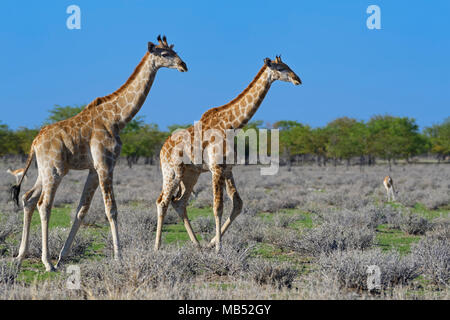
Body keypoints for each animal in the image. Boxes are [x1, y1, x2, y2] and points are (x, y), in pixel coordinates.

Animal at [11, 35, 188, 272]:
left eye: (174, 51)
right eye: (165, 54)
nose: (183, 65)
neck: (118, 118)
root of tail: (34, 143)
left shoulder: (94, 169)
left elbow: (81, 209)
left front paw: (63, 256)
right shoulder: (106, 163)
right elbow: (111, 209)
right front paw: (118, 256)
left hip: (44, 170)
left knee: (28, 198)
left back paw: (21, 257)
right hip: (55, 170)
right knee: (43, 204)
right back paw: (46, 262)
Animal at [156, 55, 302, 252]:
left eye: (288, 65)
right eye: (281, 68)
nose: (297, 79)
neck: (232, 124)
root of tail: (162, 149)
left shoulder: (228, 169)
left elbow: (237, 204)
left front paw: (212, 243)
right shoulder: (216, 168)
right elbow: (218, 206)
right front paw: (218, 247)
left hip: (191, 174)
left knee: (179, 202)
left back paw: (197, 244)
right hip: (171, 171)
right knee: (163, 201)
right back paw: (157, 247)